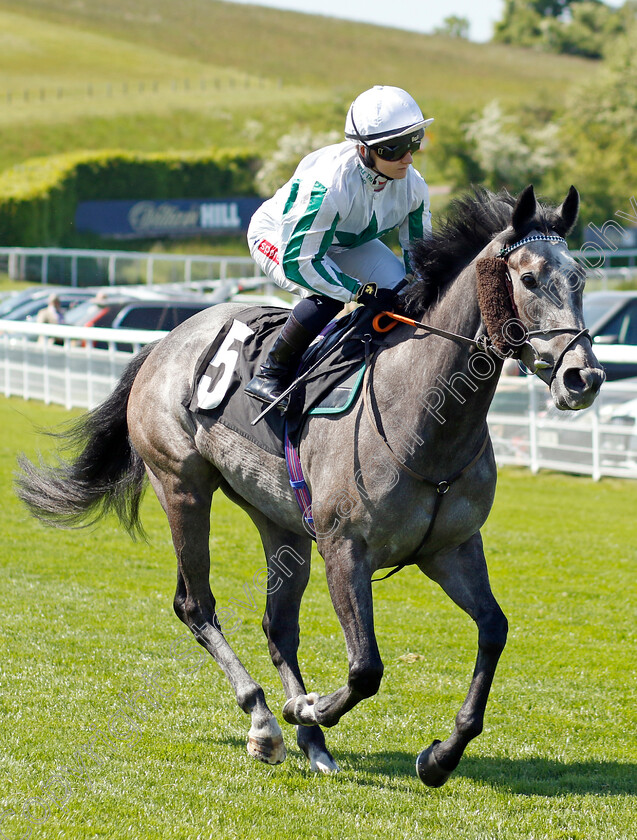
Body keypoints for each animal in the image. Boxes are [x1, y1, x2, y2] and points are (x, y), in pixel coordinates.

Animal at [14, 185, 600, 788]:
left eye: (578, 277)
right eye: (528, 278)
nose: (583, 377)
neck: (425, 414)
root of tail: (165, 341)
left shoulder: (451, 548)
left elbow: (494, 630)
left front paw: (440, 756)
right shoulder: (345, 549)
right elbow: (365, 668)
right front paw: (309, 706)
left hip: (282, 521)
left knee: (278, 626)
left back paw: (312, 744)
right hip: (181, 486)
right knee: (195, 605)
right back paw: (266, 722)